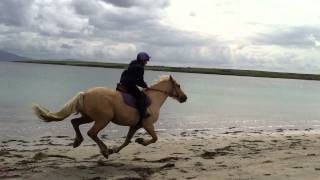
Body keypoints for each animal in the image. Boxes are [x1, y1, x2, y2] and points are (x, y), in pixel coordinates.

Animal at [31, 75, 188, 158]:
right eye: (179, 85)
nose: (185, 98)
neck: (153, 99)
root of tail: (85, 93)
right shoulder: (147, 124)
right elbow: (155, 138)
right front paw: (141, 141)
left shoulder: (135, 125)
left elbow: (127, 141)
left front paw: (116, 149)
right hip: (103, 119)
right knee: (91, 132)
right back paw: (104, 150)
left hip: (89, 117)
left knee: (75, 122)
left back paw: (78, 142)